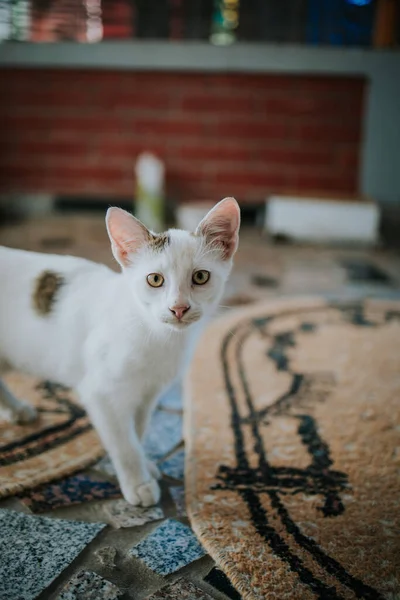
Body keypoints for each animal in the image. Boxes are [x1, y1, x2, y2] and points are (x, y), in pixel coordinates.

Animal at [0, 198, 241, 506]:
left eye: (200, 276)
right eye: (154, 280)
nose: (178, 308)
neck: (158, 338)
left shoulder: (148, 393)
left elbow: (136, 429)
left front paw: (145, 466)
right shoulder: (101, 393)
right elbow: (124, 443)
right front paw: (139, 482)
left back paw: (16, 409)